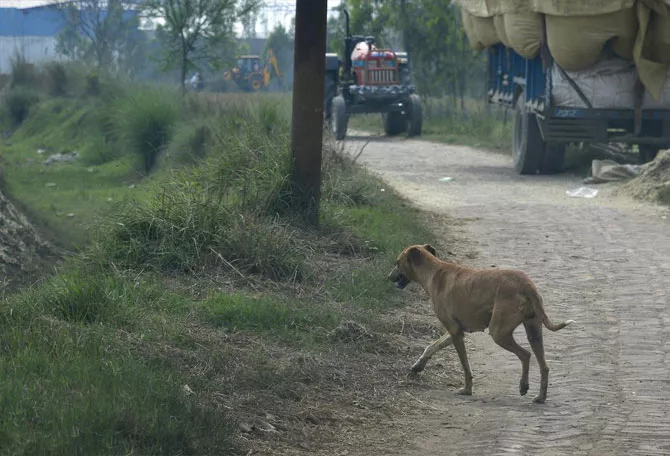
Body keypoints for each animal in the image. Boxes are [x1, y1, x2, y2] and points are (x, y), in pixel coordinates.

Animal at [392, 244, 576, 404]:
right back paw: (540, 397)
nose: (388, 277)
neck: (434, 272)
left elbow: (465, 366)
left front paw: (467, 390)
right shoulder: (455, 331)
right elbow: (432, 345)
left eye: (397, 262)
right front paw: (418, 365)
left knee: (525, 355)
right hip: (534, 332)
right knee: (544, 366)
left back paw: (524, 386)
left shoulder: (455, 332)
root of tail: (526, 284)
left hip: (498, 333)